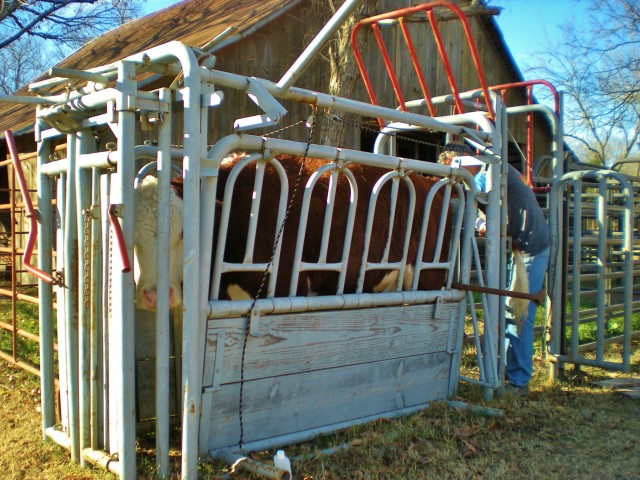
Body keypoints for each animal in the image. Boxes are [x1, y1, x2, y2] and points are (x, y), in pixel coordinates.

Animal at [134, 154, 456, 312]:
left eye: (183, 232)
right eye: (131, 239)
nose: (153, 296)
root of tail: (428, 183)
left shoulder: (288, 284)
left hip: (428, 275)